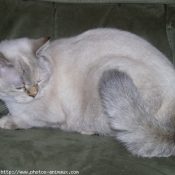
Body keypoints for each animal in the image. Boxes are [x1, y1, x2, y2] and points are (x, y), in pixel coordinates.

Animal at [0, 28, 175, 157]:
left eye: (39, 81)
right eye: (20, 87)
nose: (34, 94)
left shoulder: (49, 115)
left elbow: (26, 119)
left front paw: (6, 121)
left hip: (107, 73)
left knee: (119, 131)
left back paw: (88, 130)